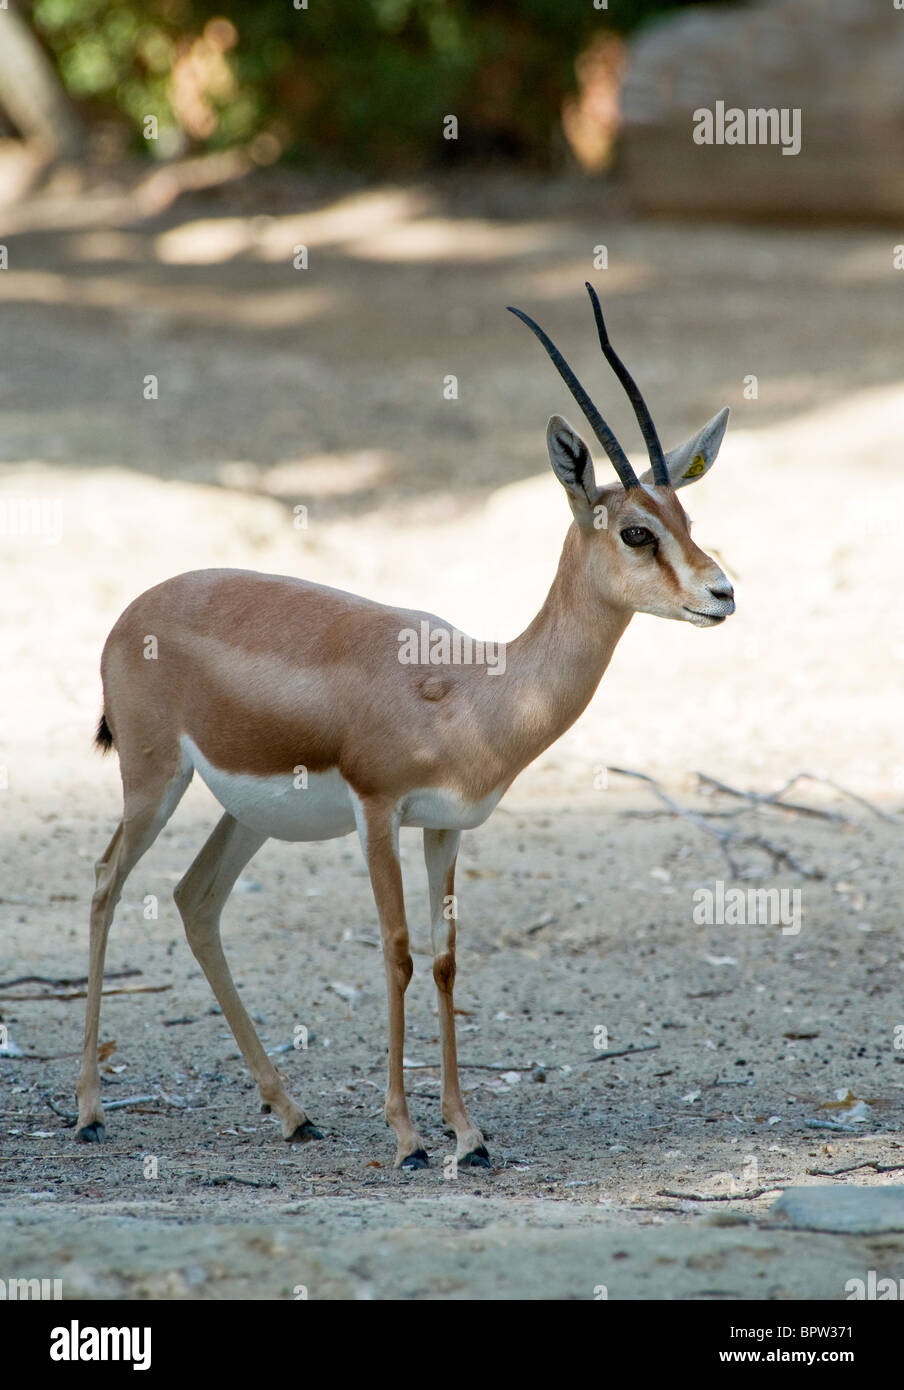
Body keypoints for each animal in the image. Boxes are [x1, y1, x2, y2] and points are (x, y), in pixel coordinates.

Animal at [76, 284, 735, 1169]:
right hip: (153, 781)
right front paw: (409, 1135)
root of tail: (133, 611)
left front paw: (469, 1132)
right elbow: (395, 953)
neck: (472, 689)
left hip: (246, 815)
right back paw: (89, 1111)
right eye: (637, 530)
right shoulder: (378, 812)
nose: (722, 593)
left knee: (195, 900)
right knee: (107, 884)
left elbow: (447, 958)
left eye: (687, 515)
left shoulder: (445, 827)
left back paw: (294, 1112)